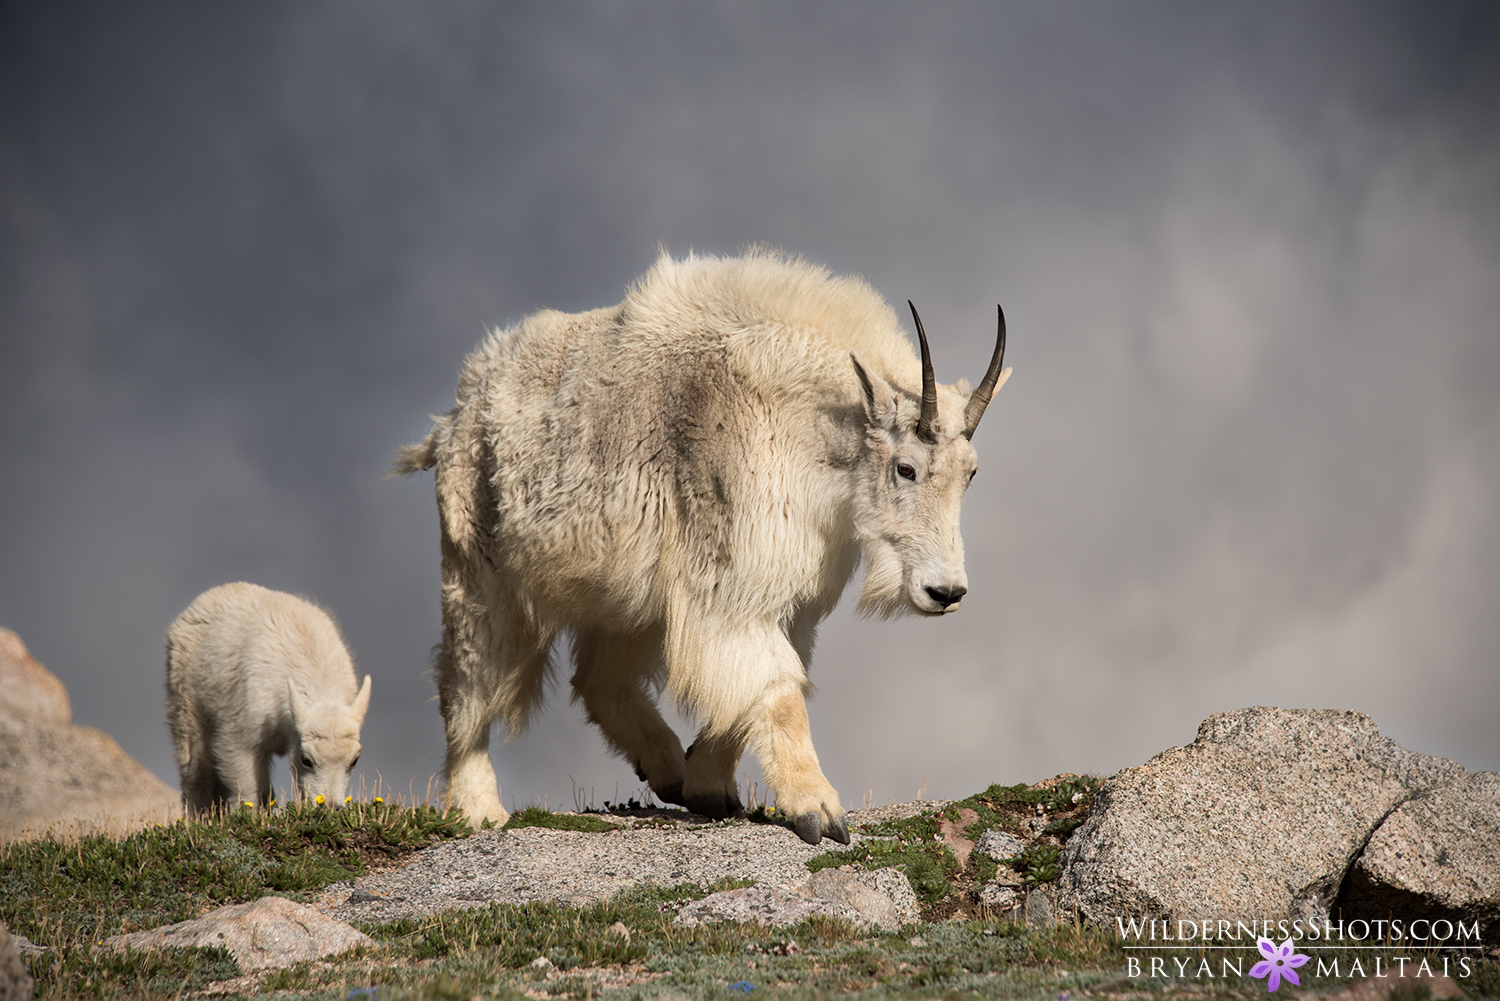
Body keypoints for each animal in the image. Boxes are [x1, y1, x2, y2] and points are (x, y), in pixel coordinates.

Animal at [393, 246, 1014, 840]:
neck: (807, 432)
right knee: (467, 684)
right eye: (906, 468)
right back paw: (480, 810)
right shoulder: (733, 583)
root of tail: (456, 414)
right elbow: (778, 690)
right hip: (480, 570)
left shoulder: (782, 600)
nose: (946, 592)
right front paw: (818, 810)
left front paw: (709, 786)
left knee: (598, 681)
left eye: (972, 473)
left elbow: (757, 687)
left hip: (621, 597)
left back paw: (668, 768)